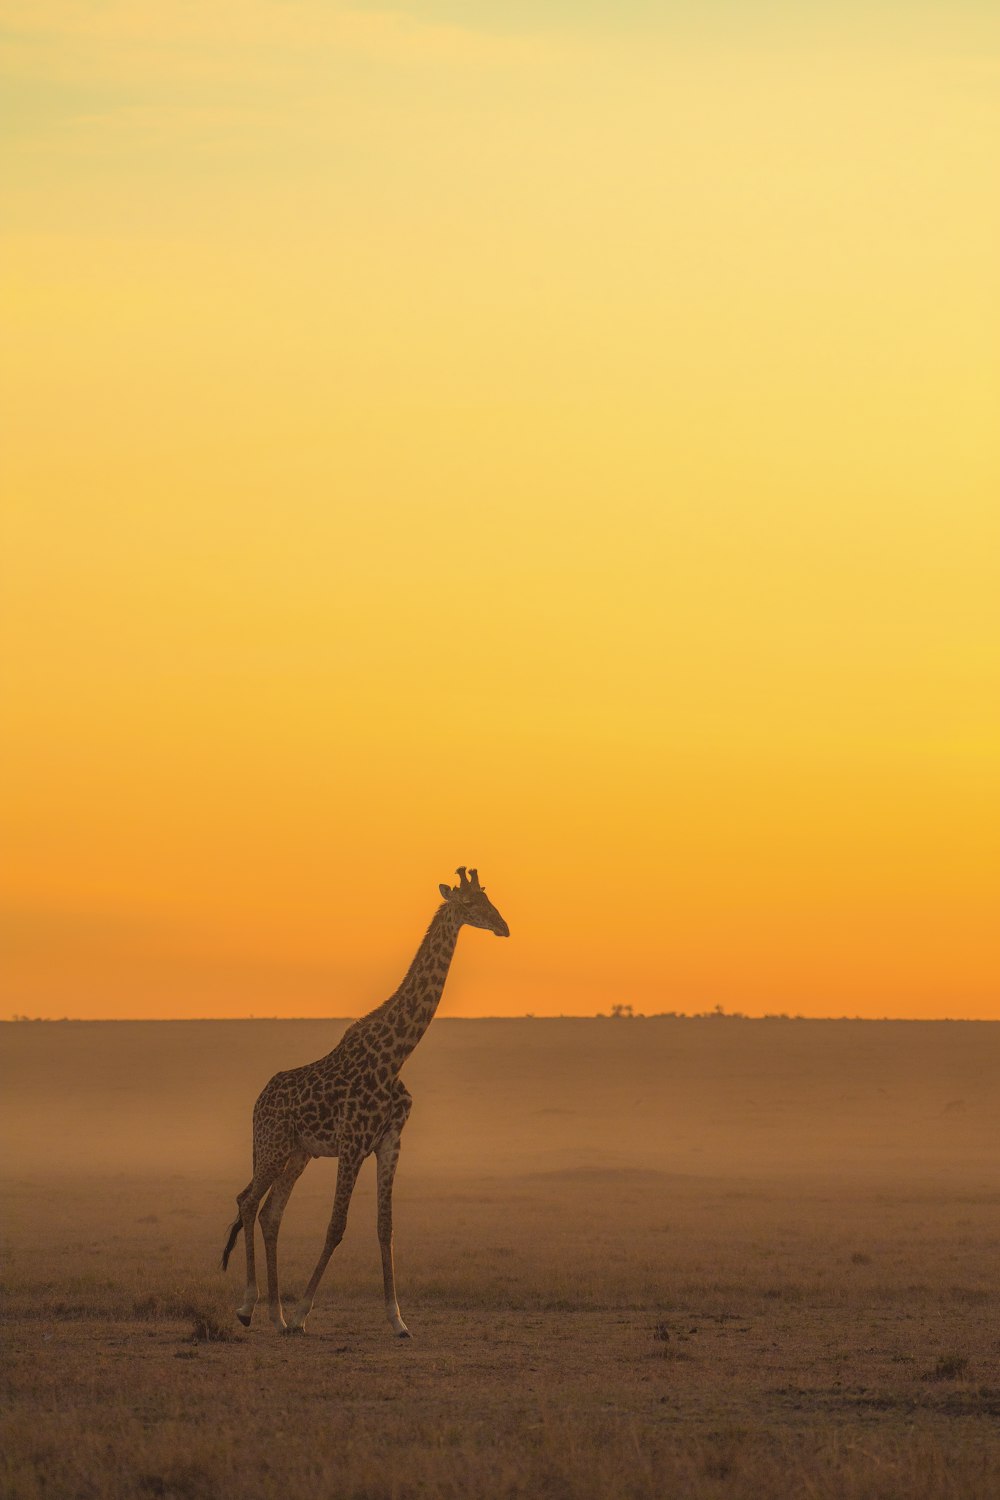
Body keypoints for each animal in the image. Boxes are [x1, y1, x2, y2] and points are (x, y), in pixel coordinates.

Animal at [217, 870, 509, 1338]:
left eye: (488, 897)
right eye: (469, 903)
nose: (503, 926)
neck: (395, 1054)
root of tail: (258, 1102)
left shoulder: (389, 1142)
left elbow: (385, 1227)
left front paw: (398, 1319)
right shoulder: (353, 1143)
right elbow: (336, 1226)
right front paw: (303, 1314)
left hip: (299, 1153)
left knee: (271, 1213)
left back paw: (275, 1315)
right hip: (273, 1146)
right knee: (247, 1202)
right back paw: (249, 1308)